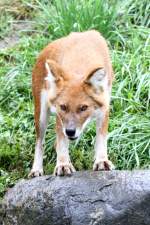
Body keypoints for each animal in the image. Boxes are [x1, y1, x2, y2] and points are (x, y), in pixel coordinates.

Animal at [28, 30, 114, 178]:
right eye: (63, 107)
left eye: (83, 107)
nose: (70, 131)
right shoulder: (59, 116)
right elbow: (62, 142)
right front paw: (63, 165)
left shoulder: (104, 108)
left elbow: (101, 137)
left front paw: (101, 161)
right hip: (41, 115)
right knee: (40, 142)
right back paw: (36, 170)